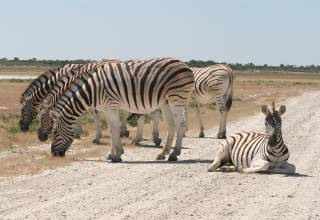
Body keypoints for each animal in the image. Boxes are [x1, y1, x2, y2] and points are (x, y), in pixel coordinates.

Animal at [50, 57, 195, 162]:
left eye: (55, 132)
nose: (53, 154)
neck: (92, 91)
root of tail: (185, 66)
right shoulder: (107, 108)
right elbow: (111, 129)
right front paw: (113, 153)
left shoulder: (111, 105)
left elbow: (115, 128)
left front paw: (117, 155)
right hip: (166, 102)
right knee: (171, 125)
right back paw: (163, 154)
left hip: (176, 98)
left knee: (181, 124)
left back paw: (174, 154)